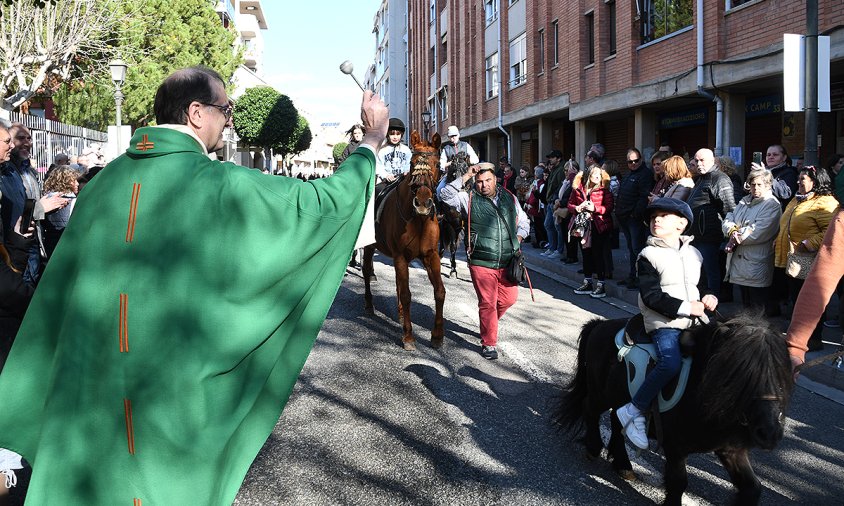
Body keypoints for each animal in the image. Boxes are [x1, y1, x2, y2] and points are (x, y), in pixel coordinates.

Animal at [362, 131, 448, 352]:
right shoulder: (400, 256)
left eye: (437, 164)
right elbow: (408, 294)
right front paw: (408, 336)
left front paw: (437, 336)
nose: (423, 203)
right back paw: (369, 305)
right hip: (369, 247)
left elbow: (439, 292)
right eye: (412, 163)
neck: (418, 220)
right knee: (366, 272)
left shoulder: (430, 256)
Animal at [552, 314, 792, 504]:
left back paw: (623, 464)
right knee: (590, 409)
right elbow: (678, 482)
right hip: (600, 393)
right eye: (740, 375)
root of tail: (599, 324)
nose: (769, 433)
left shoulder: (731, 449)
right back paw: (594, 448)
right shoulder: (675, 445)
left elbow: (753, 488)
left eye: (782, 375)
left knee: (616, 419)